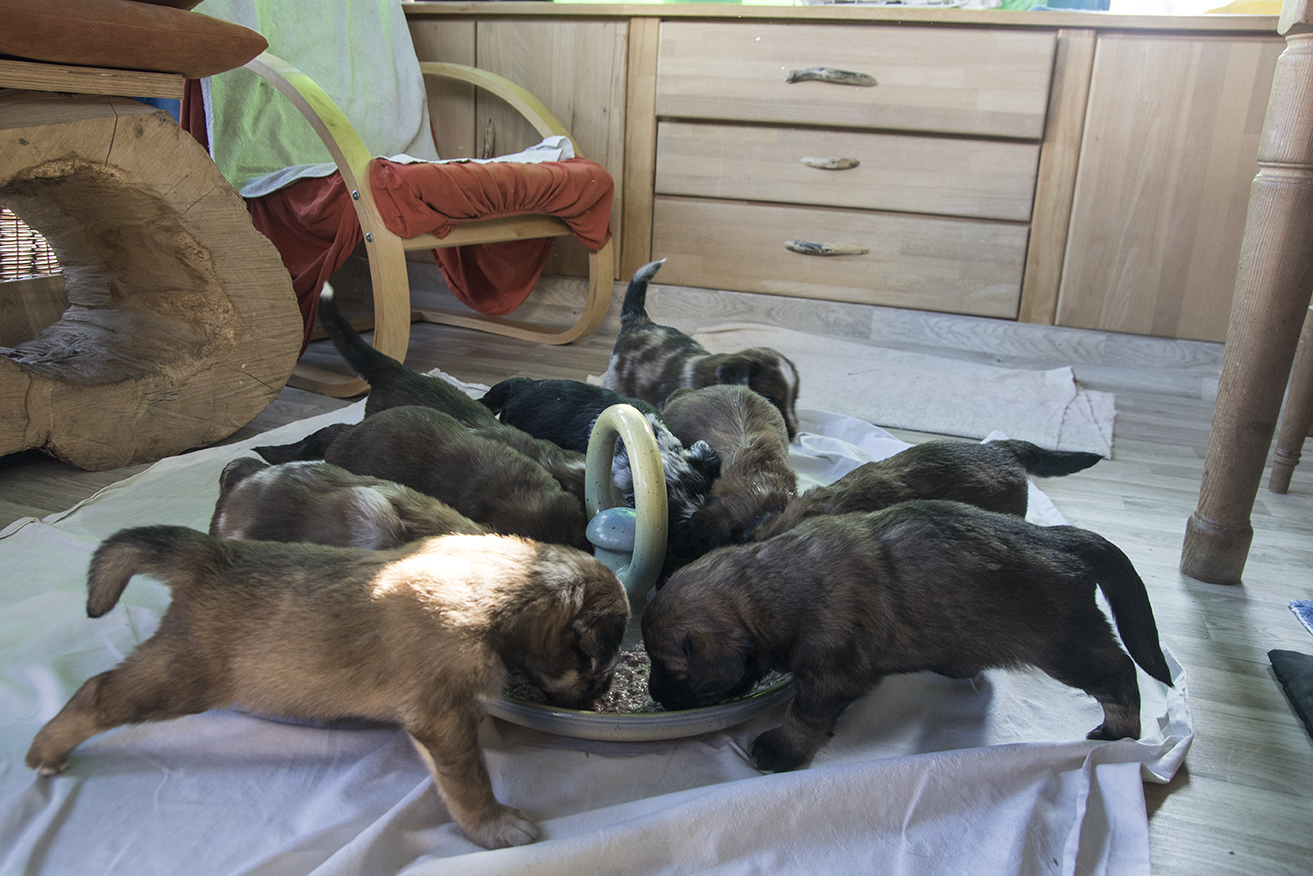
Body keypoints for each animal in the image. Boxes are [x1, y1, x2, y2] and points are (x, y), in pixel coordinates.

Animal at [26, 525, 629, 849]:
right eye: (598, 670)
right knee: (98, 693)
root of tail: (211, 557)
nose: (598, 697)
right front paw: (493, 825)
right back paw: (47, 752)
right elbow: (468, 781)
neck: (512, 586)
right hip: (180, 677)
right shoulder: (441, 719)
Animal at [642, 500, 1172, 773]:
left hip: (1067, 644)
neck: (769, 586)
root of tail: (1061, 538)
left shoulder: (829, 673)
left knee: (1119, 673)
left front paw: (780, 750)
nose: (655, 696)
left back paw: (1117, 730)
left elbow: (804, 715)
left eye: (670, 668)